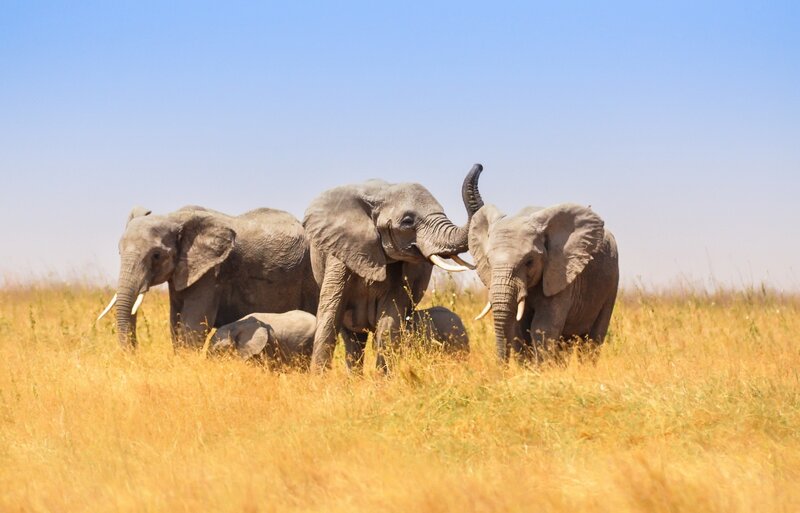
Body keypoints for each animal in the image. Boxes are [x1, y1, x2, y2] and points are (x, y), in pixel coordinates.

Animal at [97, 206, 319, 349]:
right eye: (119, 251)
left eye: (156, 255)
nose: (135, 352)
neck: (175, 217)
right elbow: (175, 324)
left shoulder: (211, 273)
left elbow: (192, 326)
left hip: (311, 272)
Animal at [303, 164, 484, 372]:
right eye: (407, 222)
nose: (479, 165)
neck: (382, 193)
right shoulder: (341, 252)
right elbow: (330, 314)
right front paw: (319, 377)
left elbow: (389, 321)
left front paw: (383, 378)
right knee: (352, 338)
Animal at [466, 173, 619, 362]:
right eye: (488, 261)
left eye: (529, 261)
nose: (502, 365)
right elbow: (519, 327)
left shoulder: (561, 273)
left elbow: (543, 327)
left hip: (612, 281)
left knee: (594, 338)